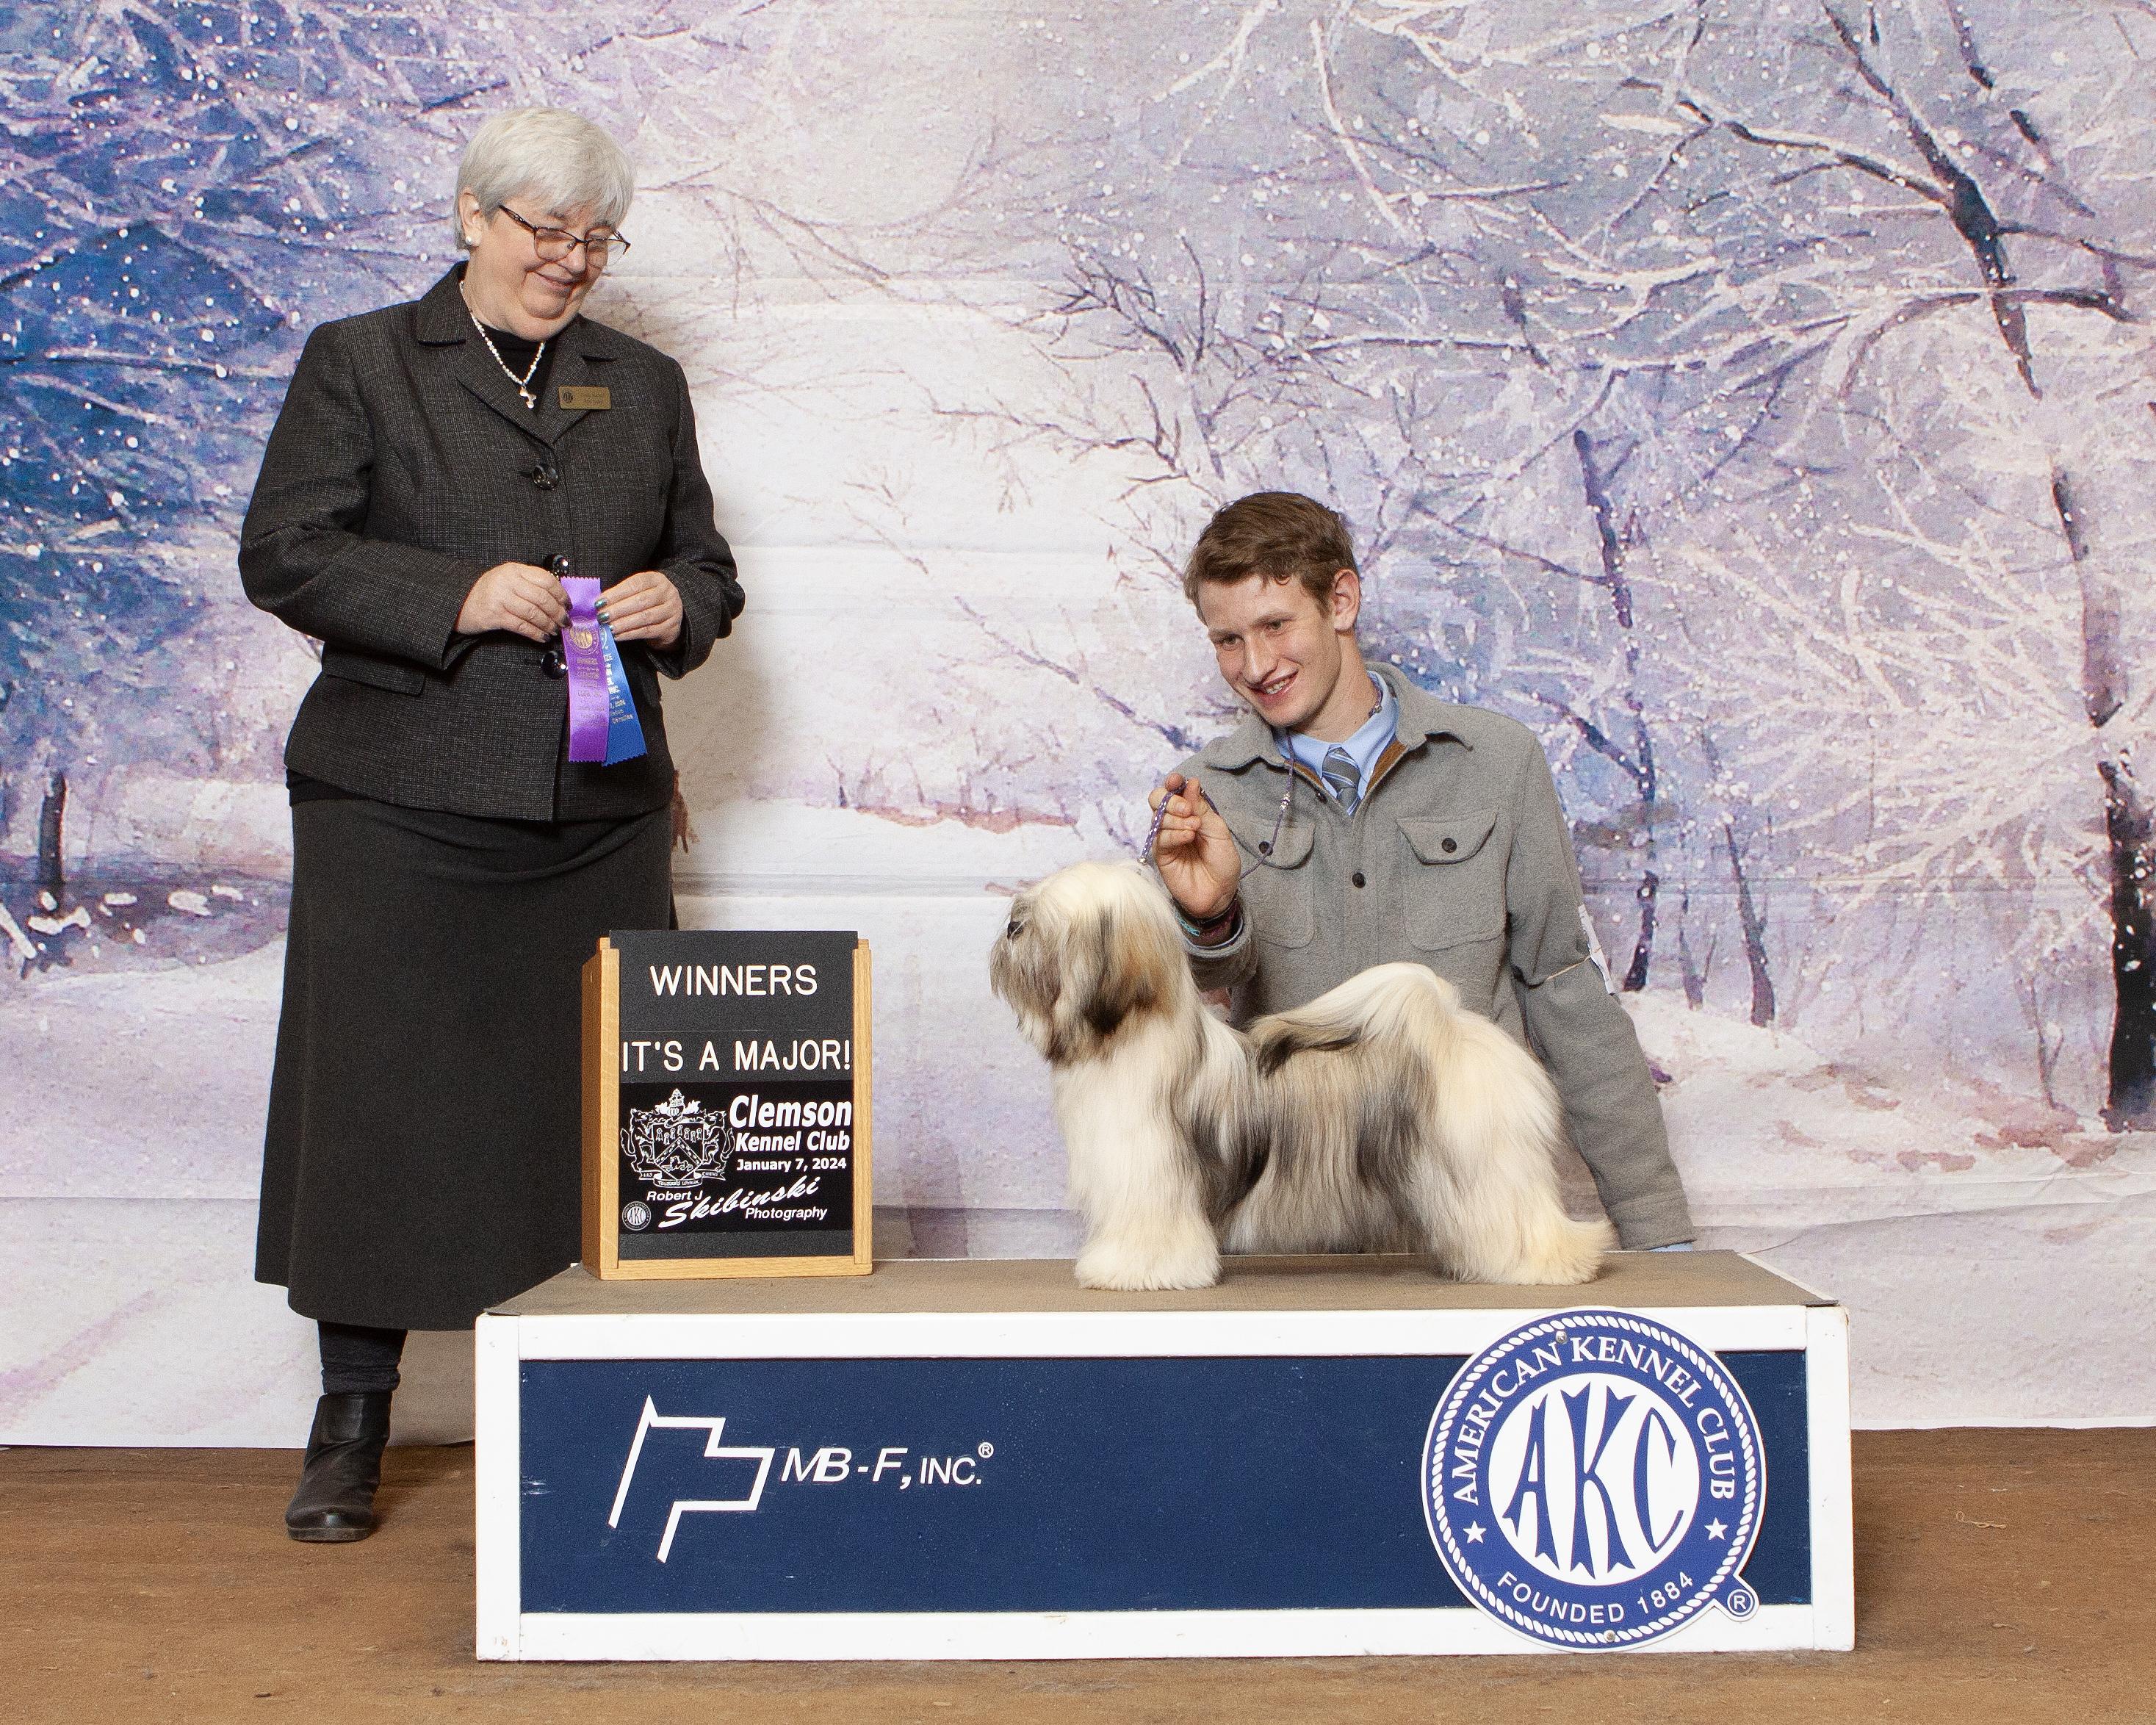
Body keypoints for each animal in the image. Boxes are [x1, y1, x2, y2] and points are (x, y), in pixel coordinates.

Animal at [989, 860, 1613, 1291]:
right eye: (1025, 912)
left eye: (1050, 926)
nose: (1012, 924)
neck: (1124, 1034)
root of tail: (1450, 1029)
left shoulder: (1150, 1178)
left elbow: (1151, 1233)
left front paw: (1132, 1271)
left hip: (1487, 1164)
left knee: (1524, 1218)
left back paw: (1558, 1262)